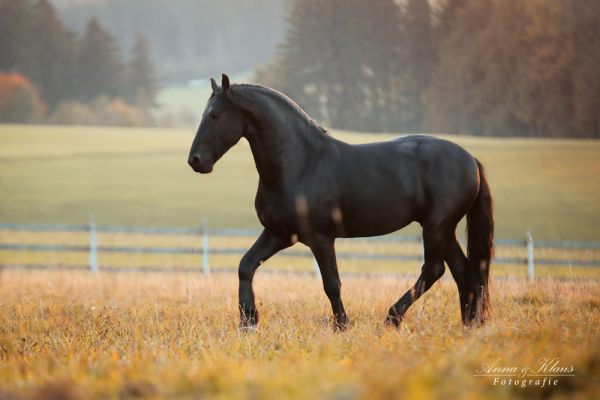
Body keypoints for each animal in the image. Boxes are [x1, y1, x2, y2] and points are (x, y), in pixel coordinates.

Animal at [188, 74, 492, 328]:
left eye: (215, 115)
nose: (195, 161)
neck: (301, 163)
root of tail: (471, 160)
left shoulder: (321, 238)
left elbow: (331, 283)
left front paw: (342, 324)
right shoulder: (279, 234)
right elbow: (245, 265)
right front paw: (248, 320)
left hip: (436, 226)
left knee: (434, 269)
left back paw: (393, 317)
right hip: (444, 229)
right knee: (461, 270)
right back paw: (469, 323)